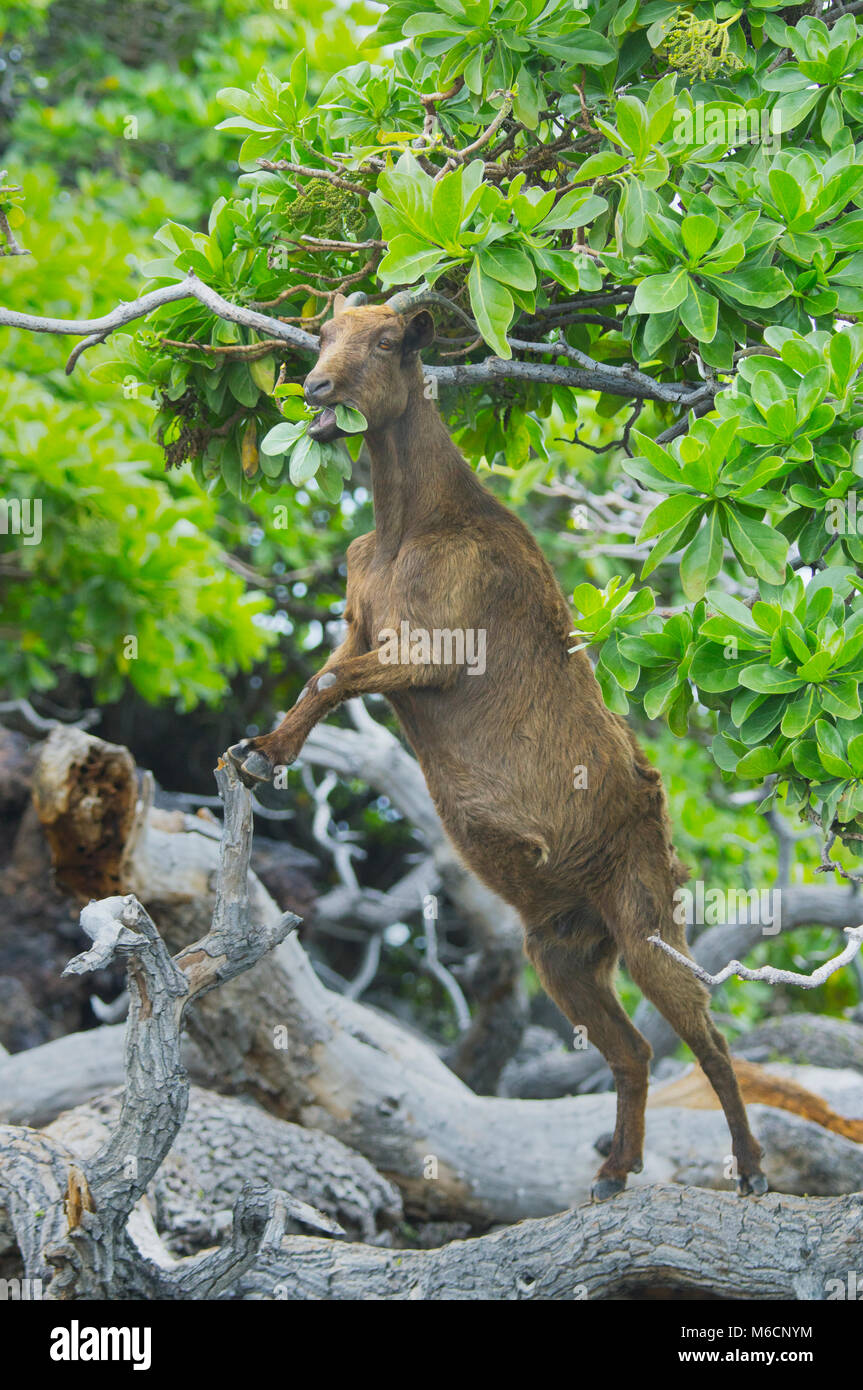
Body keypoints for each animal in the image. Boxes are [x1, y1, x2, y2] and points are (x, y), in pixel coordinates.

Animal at [227, 289, 768, 1200]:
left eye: (387, 341)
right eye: (322, 332)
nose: (317, 388)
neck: (408, 523)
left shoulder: (433, 647)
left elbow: (333, 682)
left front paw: (266, 755)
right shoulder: (362, 625)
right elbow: (322, 678)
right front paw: (258, 753)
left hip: (646, 915)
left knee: (707, 1036)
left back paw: (750, 1170)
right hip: (563, 950)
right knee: (631, 1048)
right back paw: (613, 1173)